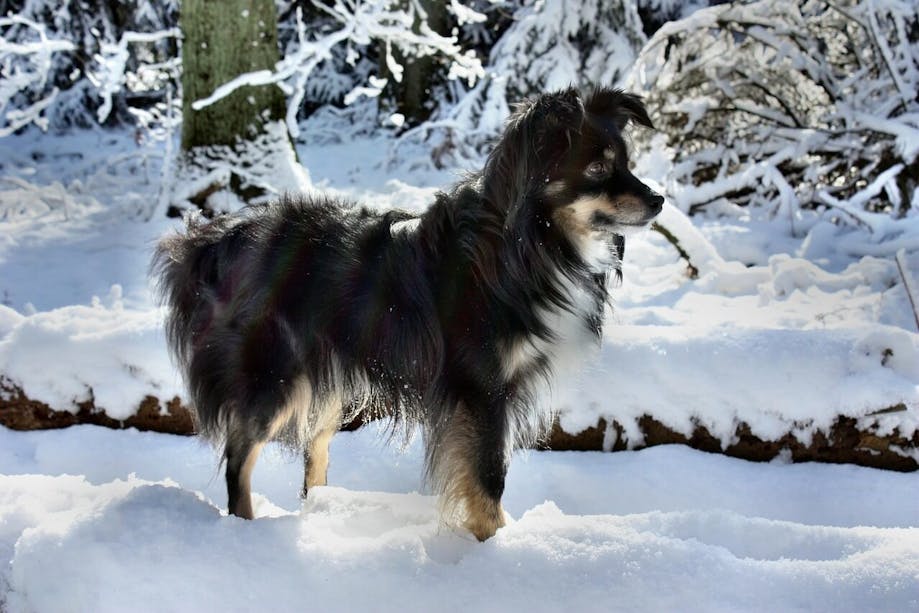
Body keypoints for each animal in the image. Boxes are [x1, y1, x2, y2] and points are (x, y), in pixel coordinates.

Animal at [155, 87, 664, 540]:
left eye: (626, 163)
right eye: (598, 168)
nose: (659, 200)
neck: (528, 247)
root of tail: (216, 241)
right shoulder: (480, 390)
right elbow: (487, 477)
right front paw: (493, 546)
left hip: (327, 382)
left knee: (313, 453)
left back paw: (322, 518)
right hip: (273, 378)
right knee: (239, 456)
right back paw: (245, 532)